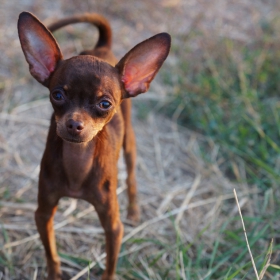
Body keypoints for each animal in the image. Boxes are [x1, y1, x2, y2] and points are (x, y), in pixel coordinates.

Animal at [17, 11, 171, 280]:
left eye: (105, 104)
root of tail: (102, 47)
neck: (78, 161)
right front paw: (54, 274)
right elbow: (51, 254)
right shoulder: (43, 214)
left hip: (129, 143)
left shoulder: (113, 227)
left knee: (132, 175)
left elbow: (110, 265)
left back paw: (134, 211)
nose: (74, 124)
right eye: (57, 95)